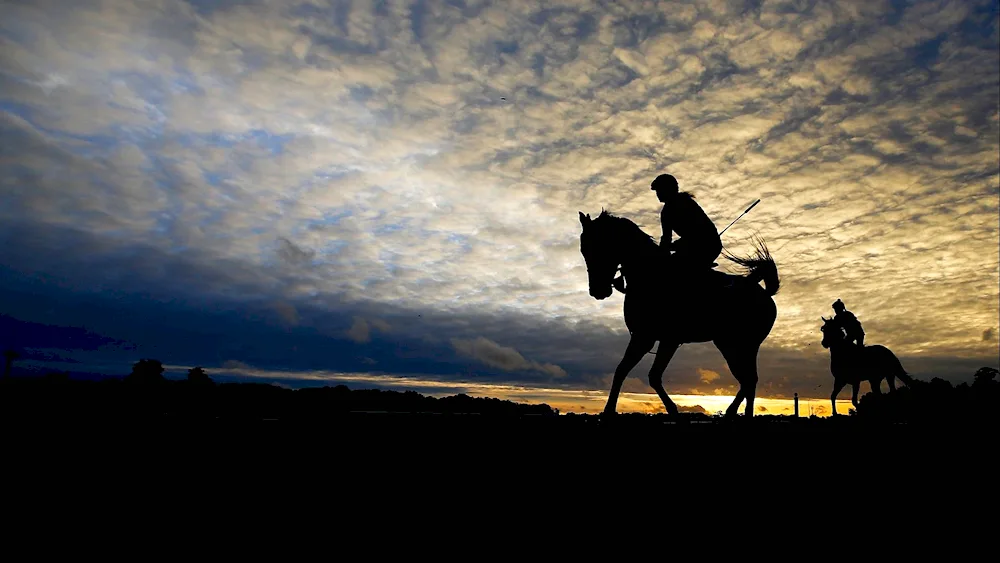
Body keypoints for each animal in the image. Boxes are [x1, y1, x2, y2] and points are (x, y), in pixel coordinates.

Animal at [580, 212, 780, 418]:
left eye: (598, 246)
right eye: (583, 249)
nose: (597, 290)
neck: (650, 275)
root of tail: (764, 293)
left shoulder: (653, 339)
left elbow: (645, 374)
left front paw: (671, 409)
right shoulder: (652, 338)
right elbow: (629, 371)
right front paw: (610, 410)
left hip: (740, 345)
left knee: (748, 379)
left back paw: (737, 412)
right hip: (732, 345)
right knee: (748, 379)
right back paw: (738, 413)